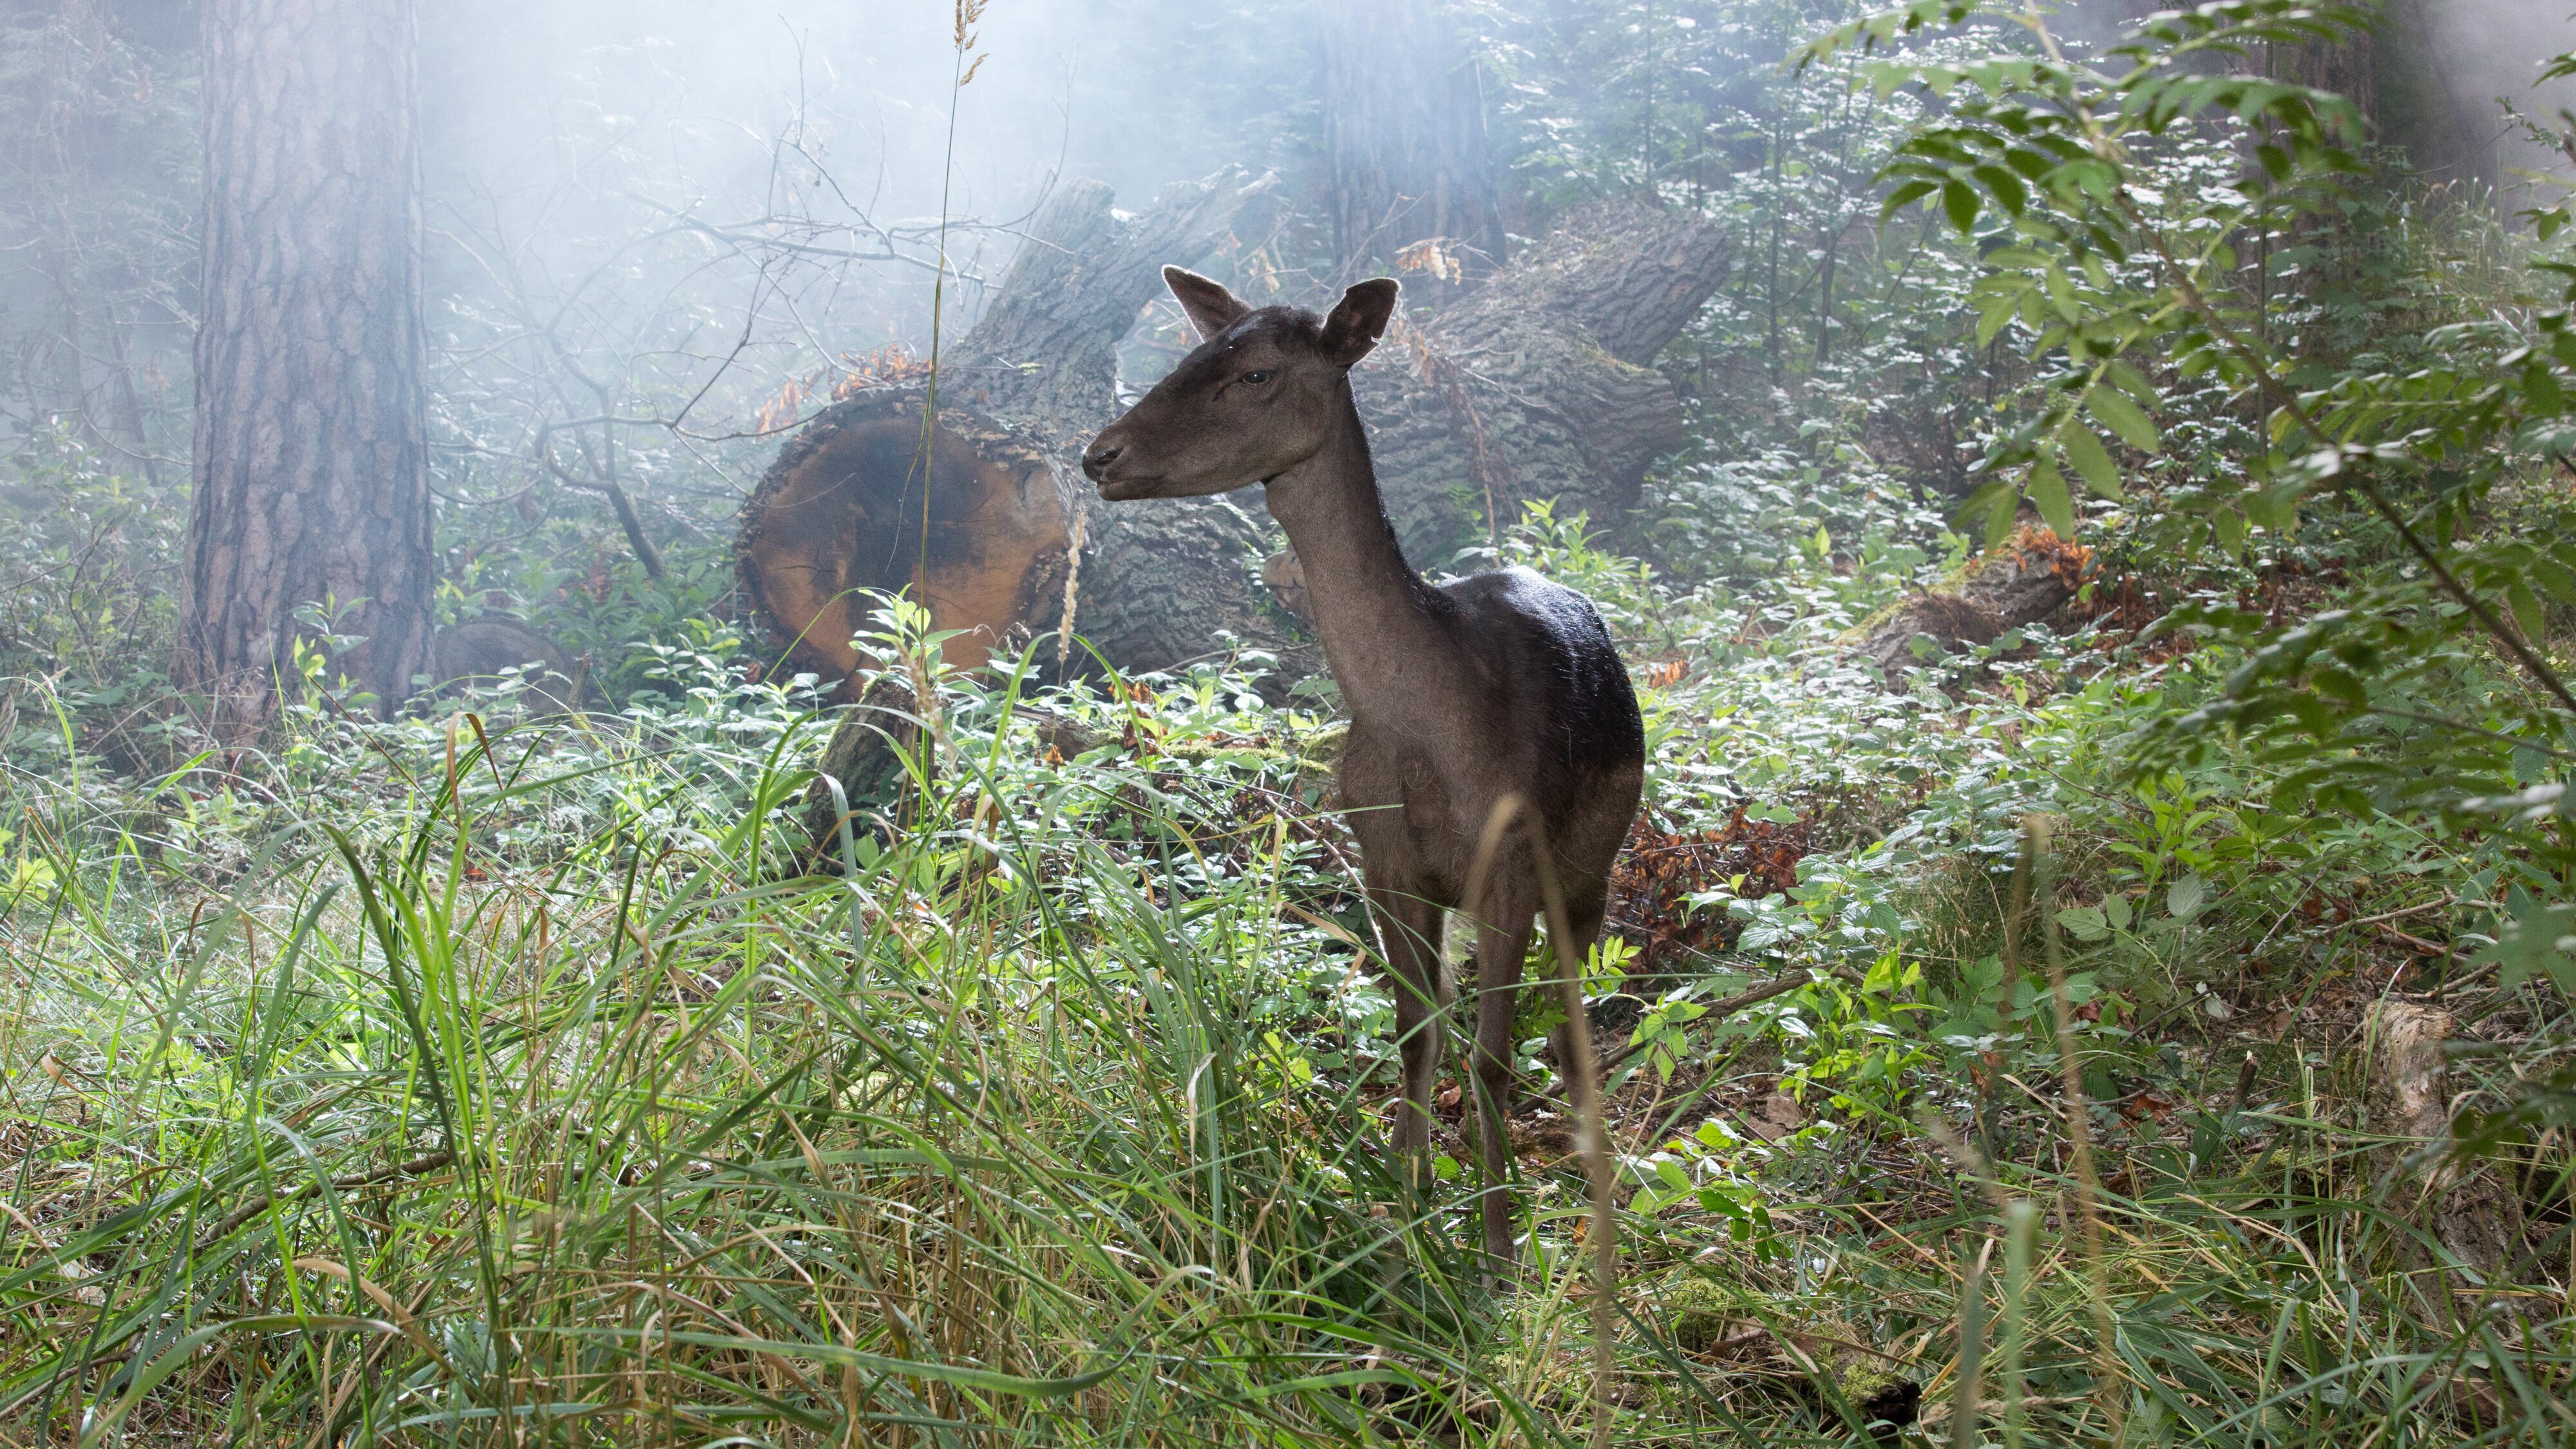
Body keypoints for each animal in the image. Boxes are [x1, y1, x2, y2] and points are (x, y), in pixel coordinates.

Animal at [1077, 265, 1638, 1258]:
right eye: (1192, 353)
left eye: (1256, 372)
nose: (1099, 456)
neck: (1425, 733)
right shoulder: (1382, 861)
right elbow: (1417, 1032)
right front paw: (1407, 1211)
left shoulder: (1512, 863)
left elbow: (1491, 1056)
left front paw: (1497, 1246)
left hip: (1594, 861)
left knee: (1575, 1027)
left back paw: (1595, 1195)